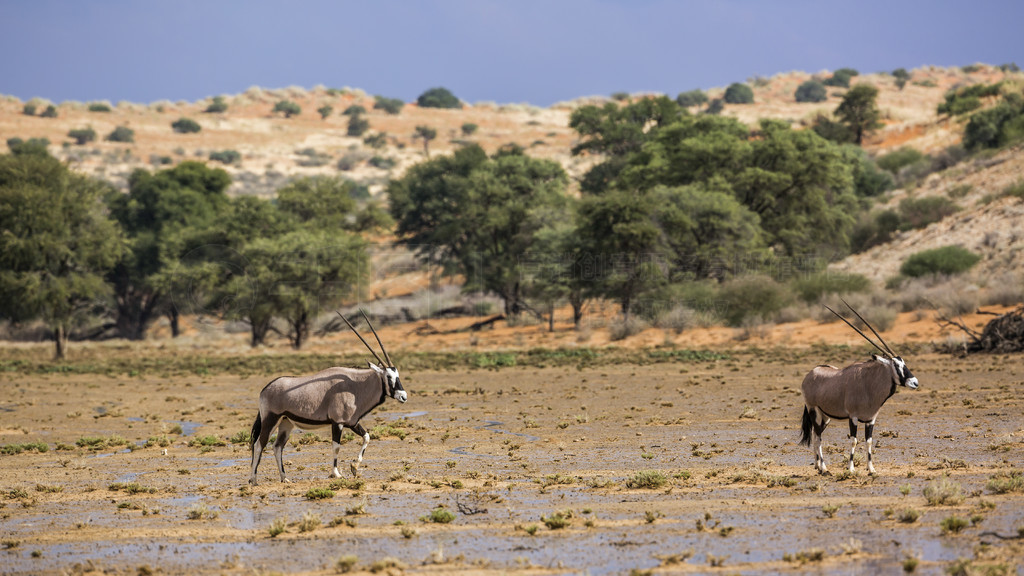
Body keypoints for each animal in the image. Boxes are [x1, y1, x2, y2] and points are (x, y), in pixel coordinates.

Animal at [247, 309, 407, 483]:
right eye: (389, 377)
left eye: (398, 375)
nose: (403, 396)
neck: (355, 386)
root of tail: (265, 389)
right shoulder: (337, 422)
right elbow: (336, 446)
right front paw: (336, 473)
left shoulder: (352, 422)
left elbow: (367, 437)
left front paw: (354, 467)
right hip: (270, 419)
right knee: (259, 444)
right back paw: (253, 480)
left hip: (286, 422)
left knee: (277, 447)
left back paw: (284, 478)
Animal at [798, 297, 921, 473]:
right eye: (896, 365)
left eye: (904, 362)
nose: (915, 382)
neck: (869, 385)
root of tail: (811, 374)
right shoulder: (853, 417)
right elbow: (854, 440)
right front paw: (851, 468)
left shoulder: (871, 419)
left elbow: (869, 441)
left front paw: (871, 469)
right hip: (813, 410)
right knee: (818, 436)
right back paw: (824, 468)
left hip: (825, 417)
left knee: (816, 435)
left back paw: (818, 465)